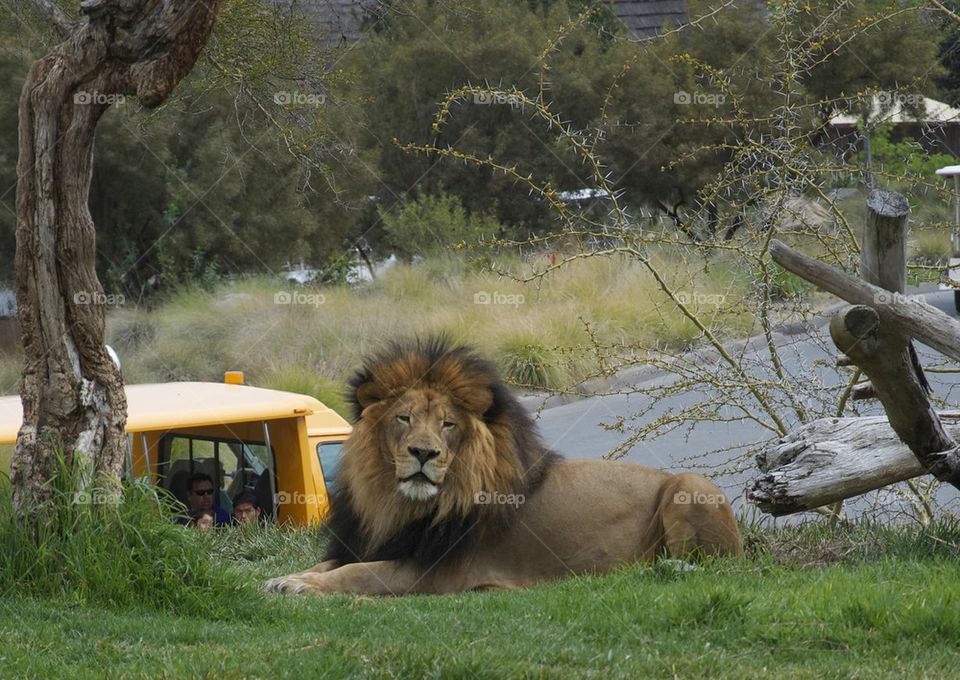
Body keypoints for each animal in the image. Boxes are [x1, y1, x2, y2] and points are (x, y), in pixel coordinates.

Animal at [262, 339, 741, 595]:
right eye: (404, 418)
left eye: (448, 424)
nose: (423, 453)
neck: (396, 505)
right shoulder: (375, 543)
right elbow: (331, 564)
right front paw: (284, 578)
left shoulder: (436, 572)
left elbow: (358, 574)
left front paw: (303, 588)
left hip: (690, 485)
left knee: (708, 567)